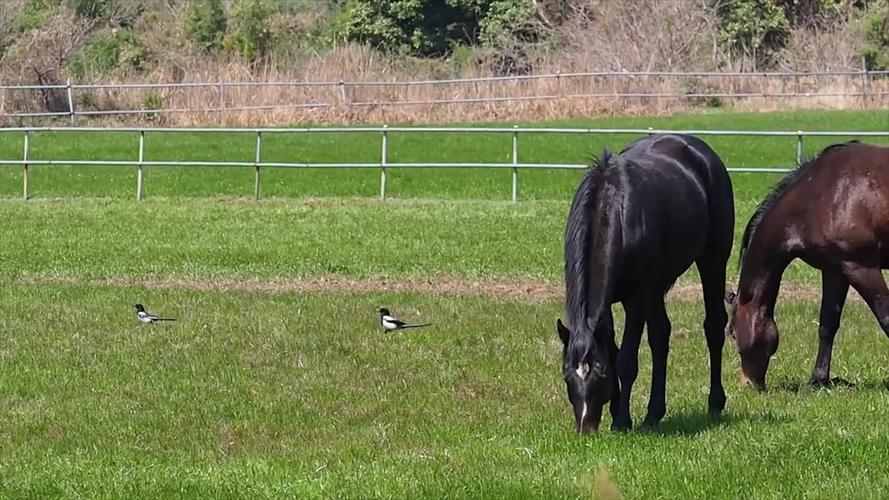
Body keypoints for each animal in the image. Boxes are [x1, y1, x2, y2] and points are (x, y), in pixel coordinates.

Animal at [556, 134, 736, 434]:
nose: (585, 427)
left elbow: (625, 360)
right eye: (567, 374)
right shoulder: (608, 304)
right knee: (661, 336)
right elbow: (614, 349)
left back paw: (715, 403)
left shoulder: (636, 299)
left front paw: (621, 421)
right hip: (657, 286)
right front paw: (618, 411)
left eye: (599, 373)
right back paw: (654, 413)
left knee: (713, 327)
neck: (616, 211)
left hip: (712, 261)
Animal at [728, 141, 888, 390]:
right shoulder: (835, 270)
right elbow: (827, 325)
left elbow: (886, 318)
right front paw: (818, 379)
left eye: (733, 333)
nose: (747, 384)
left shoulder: (862, 268)